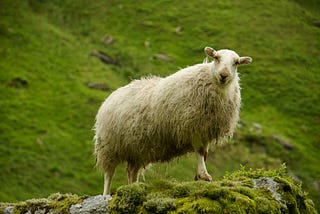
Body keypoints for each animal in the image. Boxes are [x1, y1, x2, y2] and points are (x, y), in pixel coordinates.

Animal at [94, 46, 251, 196]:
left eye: (236, 63)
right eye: (216, 58)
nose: (223, 75)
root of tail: (109, 98)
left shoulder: (205, 129)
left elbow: (204, 154)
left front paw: (199, 176)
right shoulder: (192, 127)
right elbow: (200, 152)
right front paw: (204, 175)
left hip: (136, 149)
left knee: (131, 171)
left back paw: (133, 187)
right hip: (109, 146)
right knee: (109, 173)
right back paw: (106, 194)